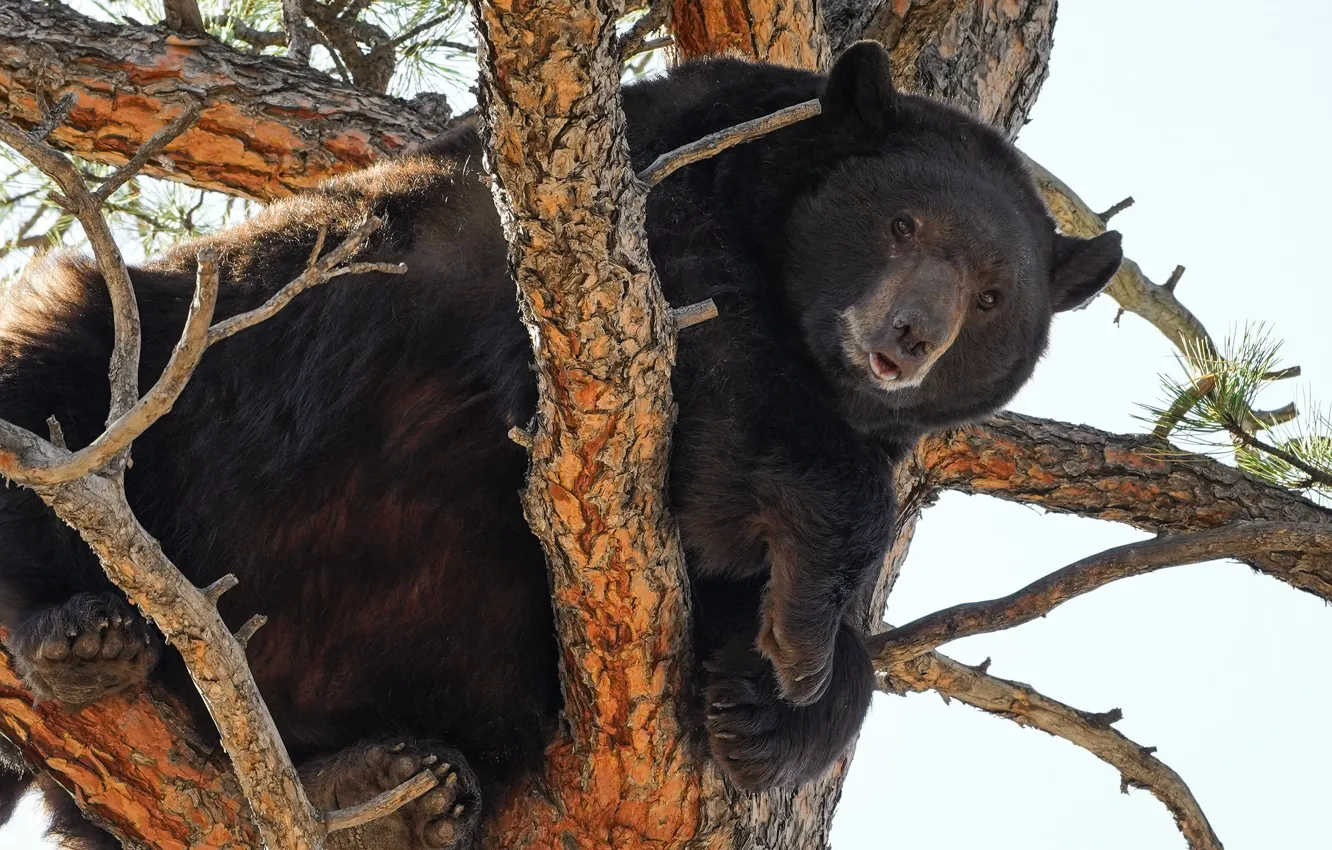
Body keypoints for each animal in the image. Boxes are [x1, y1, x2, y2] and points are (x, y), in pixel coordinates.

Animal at [0, 41, 1121, 850]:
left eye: (994, 294)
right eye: (903, 223)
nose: (909, 335)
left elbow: (724, 560)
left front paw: (775, 697)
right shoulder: (647, 205)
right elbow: (720, 379)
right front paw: (811, 585)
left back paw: (389, 795)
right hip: (187, 359)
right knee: (62, 373)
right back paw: (76, 629)